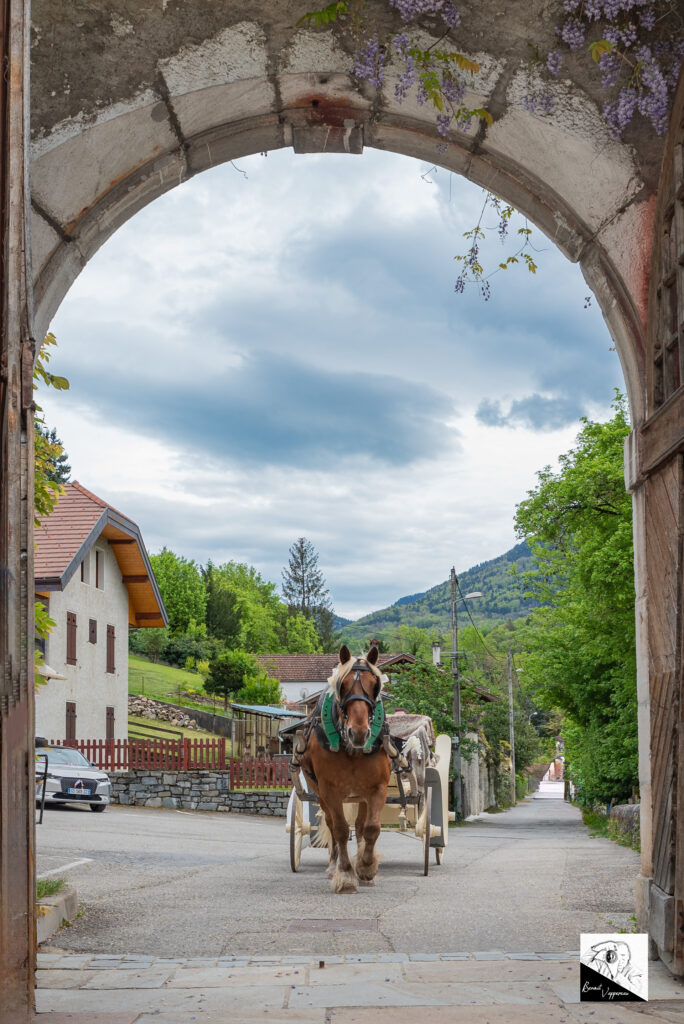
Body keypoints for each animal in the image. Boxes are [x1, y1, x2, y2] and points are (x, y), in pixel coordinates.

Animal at [298, 643, 389, 892]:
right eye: (343, 685)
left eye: (375, 685)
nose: (358, 733)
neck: (351, 749)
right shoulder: (330, 790)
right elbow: (339, 829)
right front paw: (347, 874)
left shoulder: (377, 788)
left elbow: (372, 828)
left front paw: (366, 867)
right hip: (320, 793)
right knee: (331, 824)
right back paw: (334, 866)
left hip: (361, 796)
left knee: (360, 826)